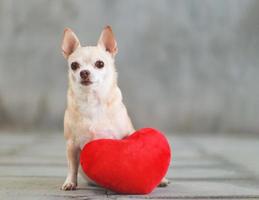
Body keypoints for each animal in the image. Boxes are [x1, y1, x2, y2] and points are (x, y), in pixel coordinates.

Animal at [61, 25, 170, 190]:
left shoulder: (124, 136)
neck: (92, 100)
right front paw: (70, 182)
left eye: (100, 64)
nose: (84, 72)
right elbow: (72, 166)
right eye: (74, 65)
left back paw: (162, 180)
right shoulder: (71, 145)